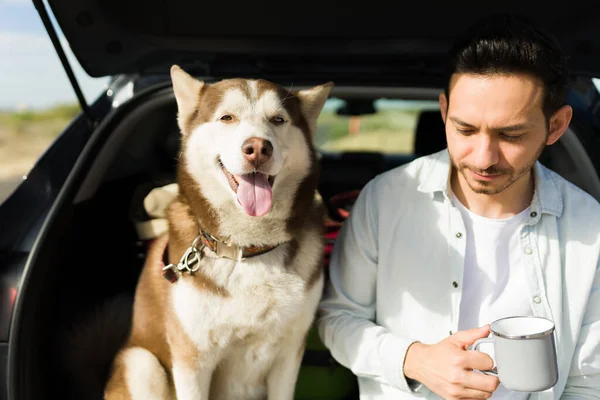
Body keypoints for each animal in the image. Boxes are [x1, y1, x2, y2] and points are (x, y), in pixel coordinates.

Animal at [103, 66, 336, 400]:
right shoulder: (191, 358)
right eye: (227, 117)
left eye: (278, 120)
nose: (257, 148)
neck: (247, 248)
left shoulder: (290, 352)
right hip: (140, 362)